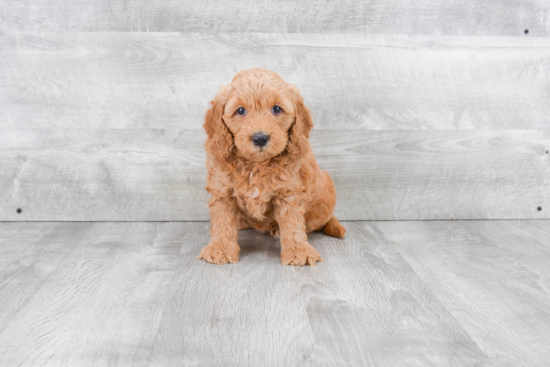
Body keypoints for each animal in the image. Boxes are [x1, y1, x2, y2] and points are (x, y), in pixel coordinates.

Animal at [201, 67, 348, 266]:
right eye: (240, 111)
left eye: (277, 109)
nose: (260, 138)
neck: (256, 165)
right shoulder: (223, 190)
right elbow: (222, 221)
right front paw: (220, 249)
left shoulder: (290, 191)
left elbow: (293, 223)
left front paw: (298, 251)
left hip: (324, 188)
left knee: (316, 221)